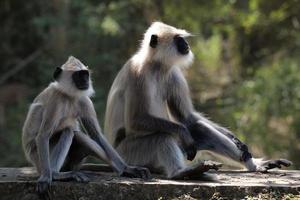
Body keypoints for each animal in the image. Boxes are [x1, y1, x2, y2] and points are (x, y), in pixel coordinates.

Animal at [22, 55, 150, 194]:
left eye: (85, 74)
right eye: (78, 76)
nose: (85, 81)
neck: (69, 96)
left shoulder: (84, 100)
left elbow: (96, 135)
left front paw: (127, 168)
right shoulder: (55, 101)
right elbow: (43, 135)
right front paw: (46, 178)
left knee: (79, 136)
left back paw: (121, 170)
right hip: (37, 158)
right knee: (68, 131)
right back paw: (56, 175)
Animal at [104, 22, 292, 180]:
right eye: (178, 39)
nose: (186, 45)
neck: (156, 66)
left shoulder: (174, 74)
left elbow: (187, 118)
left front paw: (235, 139)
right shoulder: (138, 74)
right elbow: (136, 120)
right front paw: (183, 133)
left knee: (199, 128)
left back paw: (255, 166)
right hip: (131, 155)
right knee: (163, 137)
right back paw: (179, 172)